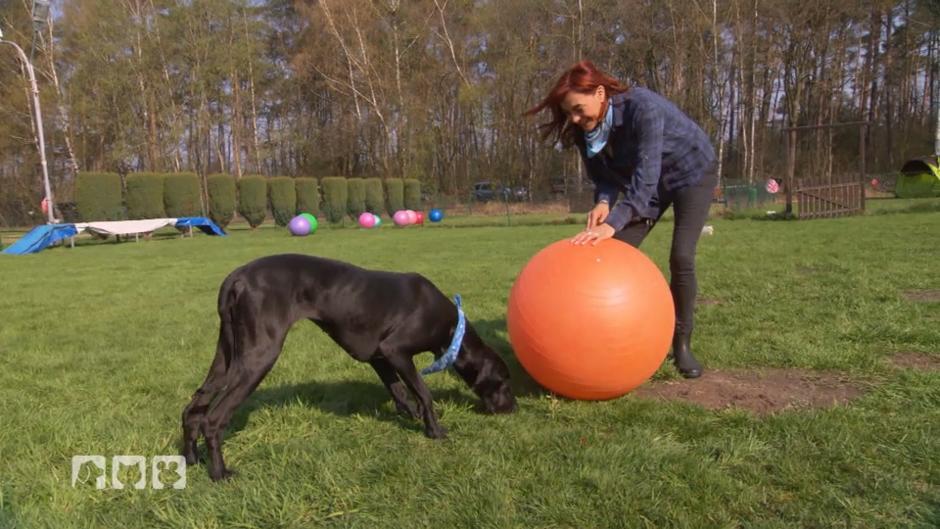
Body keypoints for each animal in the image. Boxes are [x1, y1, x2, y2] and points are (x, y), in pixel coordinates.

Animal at [180, 254, 516, 480]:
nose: (513, 408)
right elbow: (423, 391)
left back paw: (191, 458)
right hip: (258, 356)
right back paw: (220, 473)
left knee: (192, 409)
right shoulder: (395, 351)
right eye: (504, 380)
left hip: (226, 359)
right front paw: (434, 430)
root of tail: (236, 277)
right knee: (213, 419)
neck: (451, 328)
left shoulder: (380, 357)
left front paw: (411, 414)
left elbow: (398, 390)